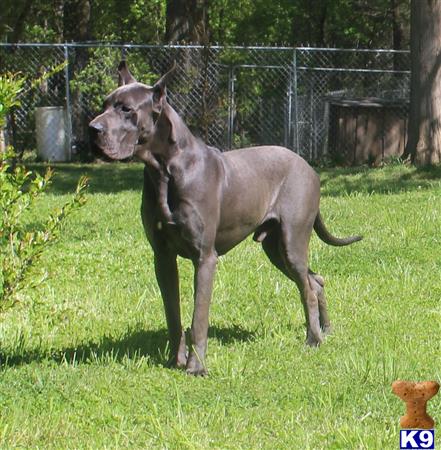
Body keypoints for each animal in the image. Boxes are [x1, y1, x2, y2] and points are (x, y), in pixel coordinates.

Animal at [90, 61, 360, 374]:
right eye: (105, 104)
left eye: (126, 109)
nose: (92, 129)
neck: (164, 170)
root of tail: (308, 167)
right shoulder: (162, 256)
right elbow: (173, 314)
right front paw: (175, 361)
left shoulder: (205, 257)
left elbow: (198, 318)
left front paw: (196, 367)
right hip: (275, 247)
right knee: (315, 280)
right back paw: (325, 328)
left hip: (292, 241)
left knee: (307, 286)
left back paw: (313, 338)